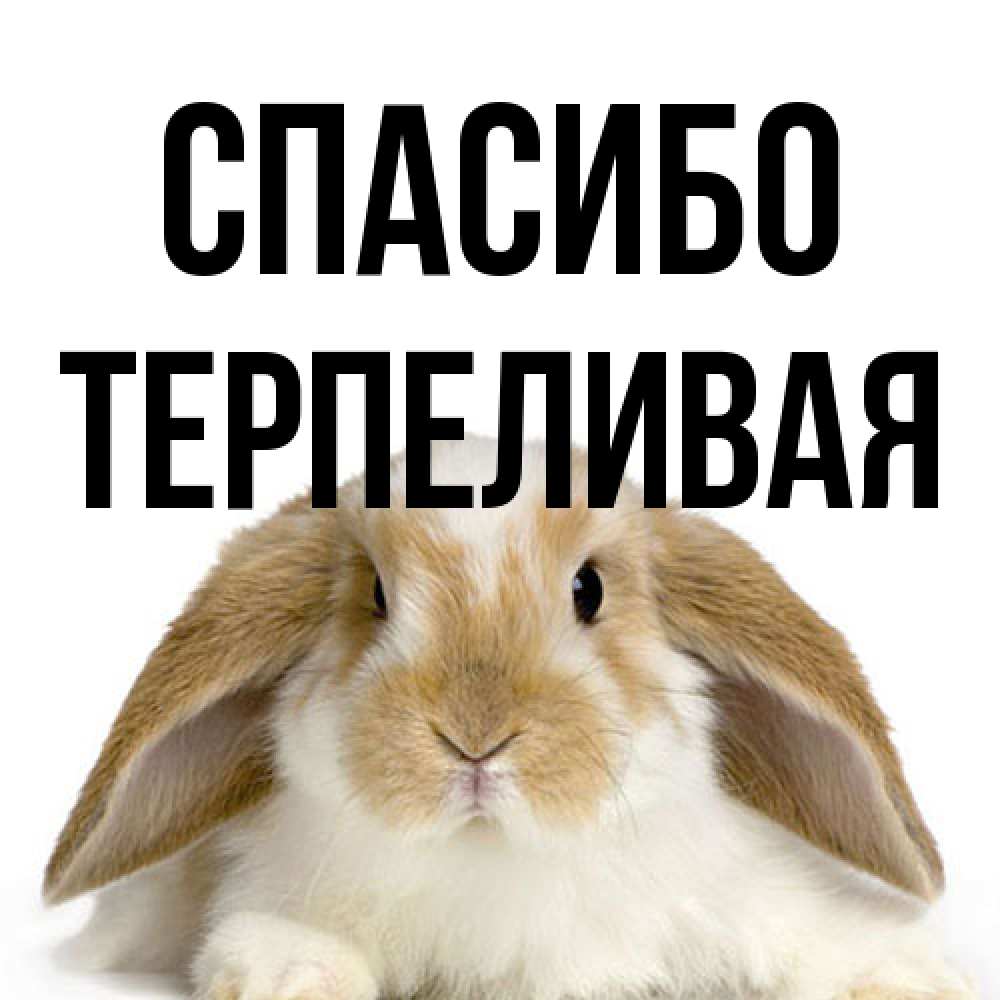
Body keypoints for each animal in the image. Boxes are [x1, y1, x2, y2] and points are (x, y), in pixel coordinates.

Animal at [45, 437, 975, 1000]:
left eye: (589, 589)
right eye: (375, 596)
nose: (475, 737)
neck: (494, 857)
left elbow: (817, 939)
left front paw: (909, 977)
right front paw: (290, 976)